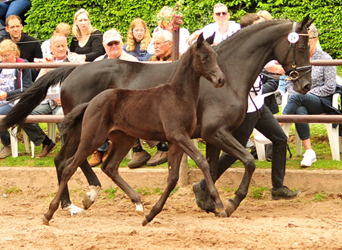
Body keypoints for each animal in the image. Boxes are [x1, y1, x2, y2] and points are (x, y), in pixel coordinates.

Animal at [0, 16, 312, 219]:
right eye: (299, 46)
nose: (306, 85)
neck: (230, 75)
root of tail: (73, 71)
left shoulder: (210, 136)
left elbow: (214, 165)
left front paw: (208, 201)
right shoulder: (215, 132)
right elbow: (246, 161)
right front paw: (230, 202)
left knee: (66, 161)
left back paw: (76, 204)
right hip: (85, 131)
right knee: (69, 161)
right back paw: (84, 198)